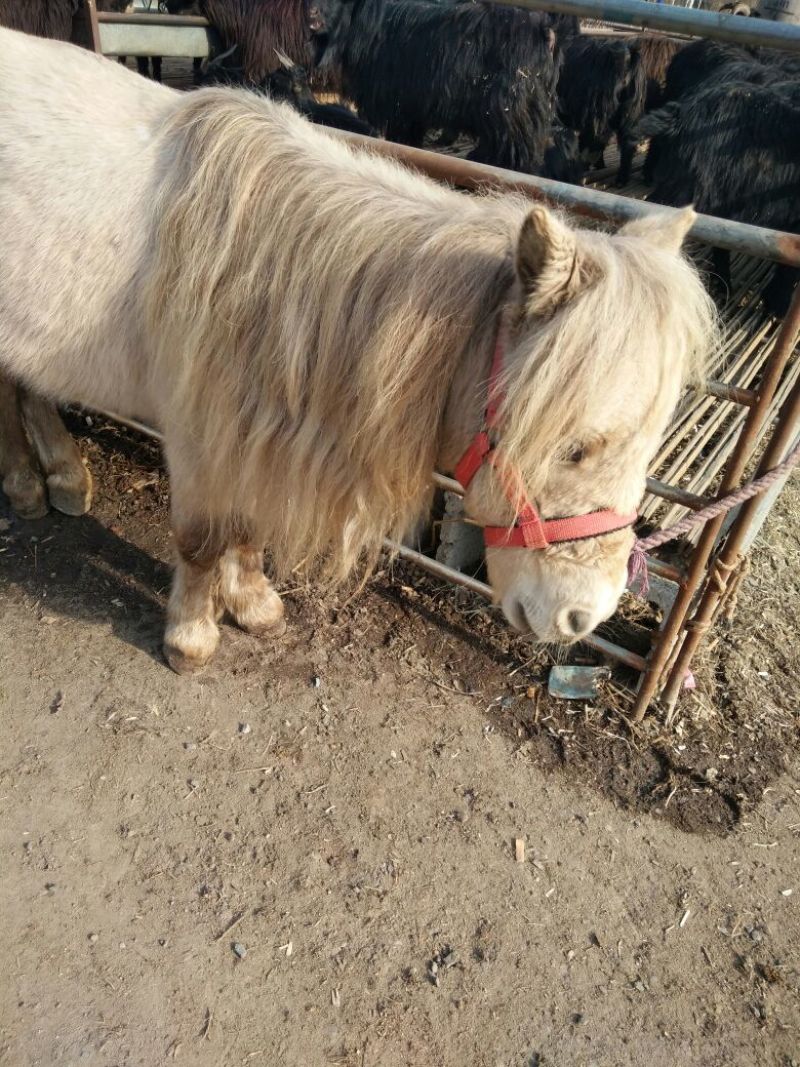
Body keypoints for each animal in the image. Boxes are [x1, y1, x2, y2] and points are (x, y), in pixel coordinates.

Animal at [0, 28, 717, 673]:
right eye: (572, 447)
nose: (581, 617)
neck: (264, 273)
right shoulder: (203, 435)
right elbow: (203, 539)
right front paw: (193, 637)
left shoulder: (252, 437)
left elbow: (247, 527)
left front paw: (252, 604)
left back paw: (54, 478)